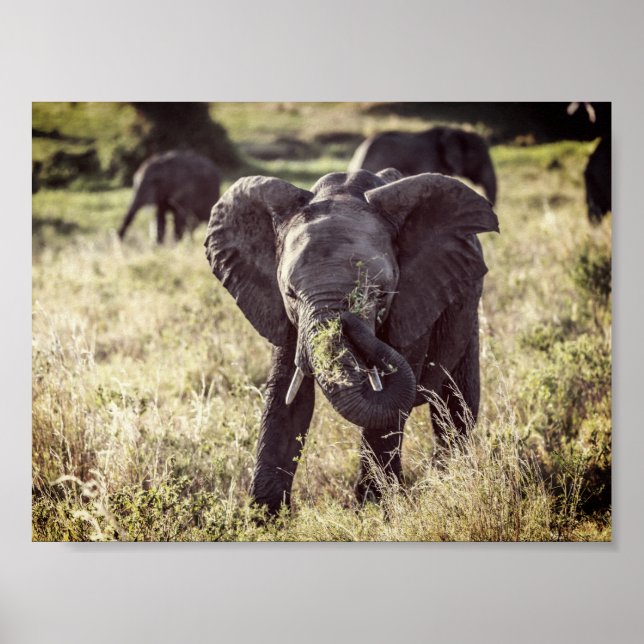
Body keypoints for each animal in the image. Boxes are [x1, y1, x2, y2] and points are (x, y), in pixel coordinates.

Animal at [205, 168, 499, 514]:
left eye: (379, 294)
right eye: (290, 294)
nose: (349, 320)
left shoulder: (415, 299)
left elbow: (389, 403)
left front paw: (375, 509)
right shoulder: (283, 315)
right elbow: (288, 397)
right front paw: (264, 516)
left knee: (456, 404)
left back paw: (447, 478)